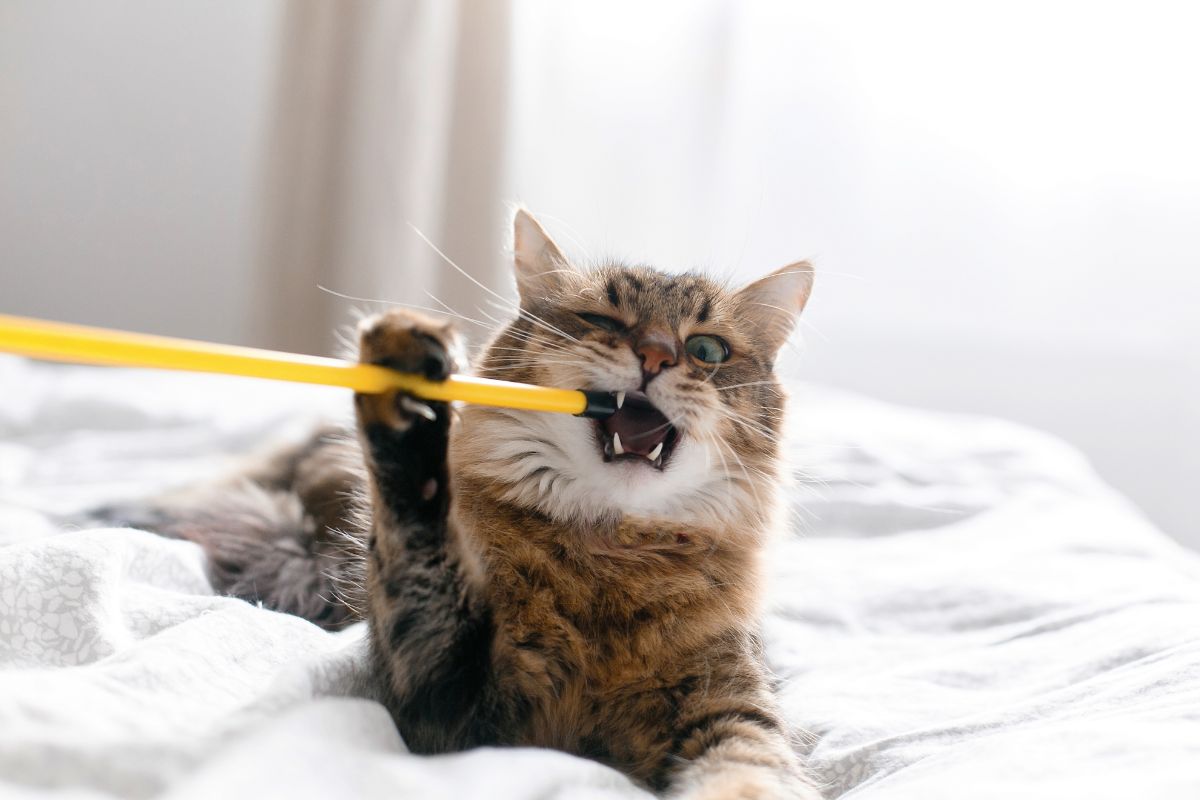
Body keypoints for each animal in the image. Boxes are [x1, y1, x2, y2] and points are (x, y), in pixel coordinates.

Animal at [98, 209, 820, 796]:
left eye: (706, 349)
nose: (656, 356)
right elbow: (417, 525)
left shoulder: (731, 702)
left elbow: (750, 772)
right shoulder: (451, 701)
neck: (607, 556)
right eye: (601, 322)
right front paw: (407, 394)